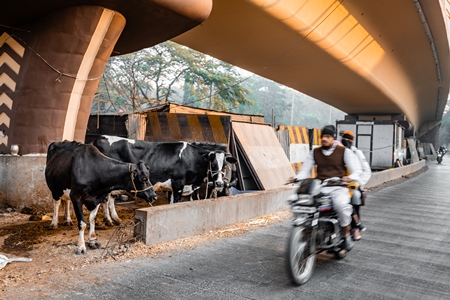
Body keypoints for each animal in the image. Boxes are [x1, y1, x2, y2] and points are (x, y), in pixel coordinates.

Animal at [93, 136, 237, 204]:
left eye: (225, 165)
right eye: (213, 164)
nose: (219, 183)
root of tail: (100, 138)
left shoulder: (177, 187)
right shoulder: (178, 183)